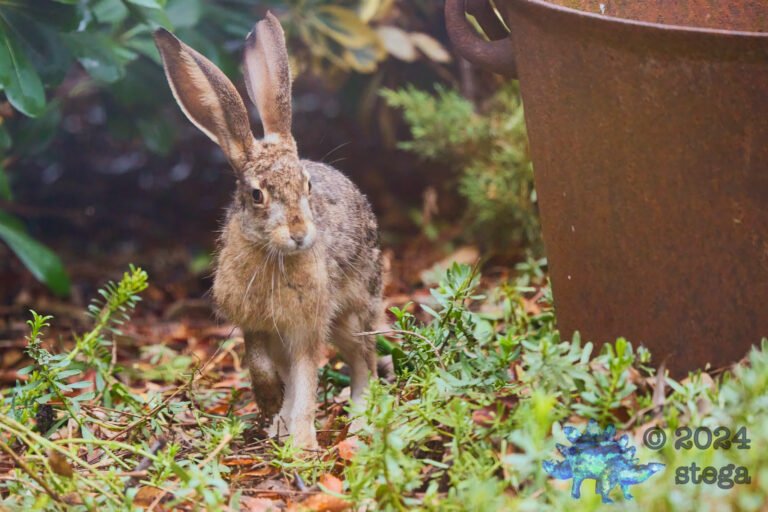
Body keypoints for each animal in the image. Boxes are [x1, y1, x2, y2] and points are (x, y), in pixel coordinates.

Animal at [153, 12, 382, 450]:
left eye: (307, 185)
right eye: (257, 195)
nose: (300, 234)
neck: (272, 254)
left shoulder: (307, 328)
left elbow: (307, 380)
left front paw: (303, 444)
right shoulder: (256, 326)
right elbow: (262, 368)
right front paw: (273, 406)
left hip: (356, 311)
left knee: (366, 361)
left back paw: (361, 420)